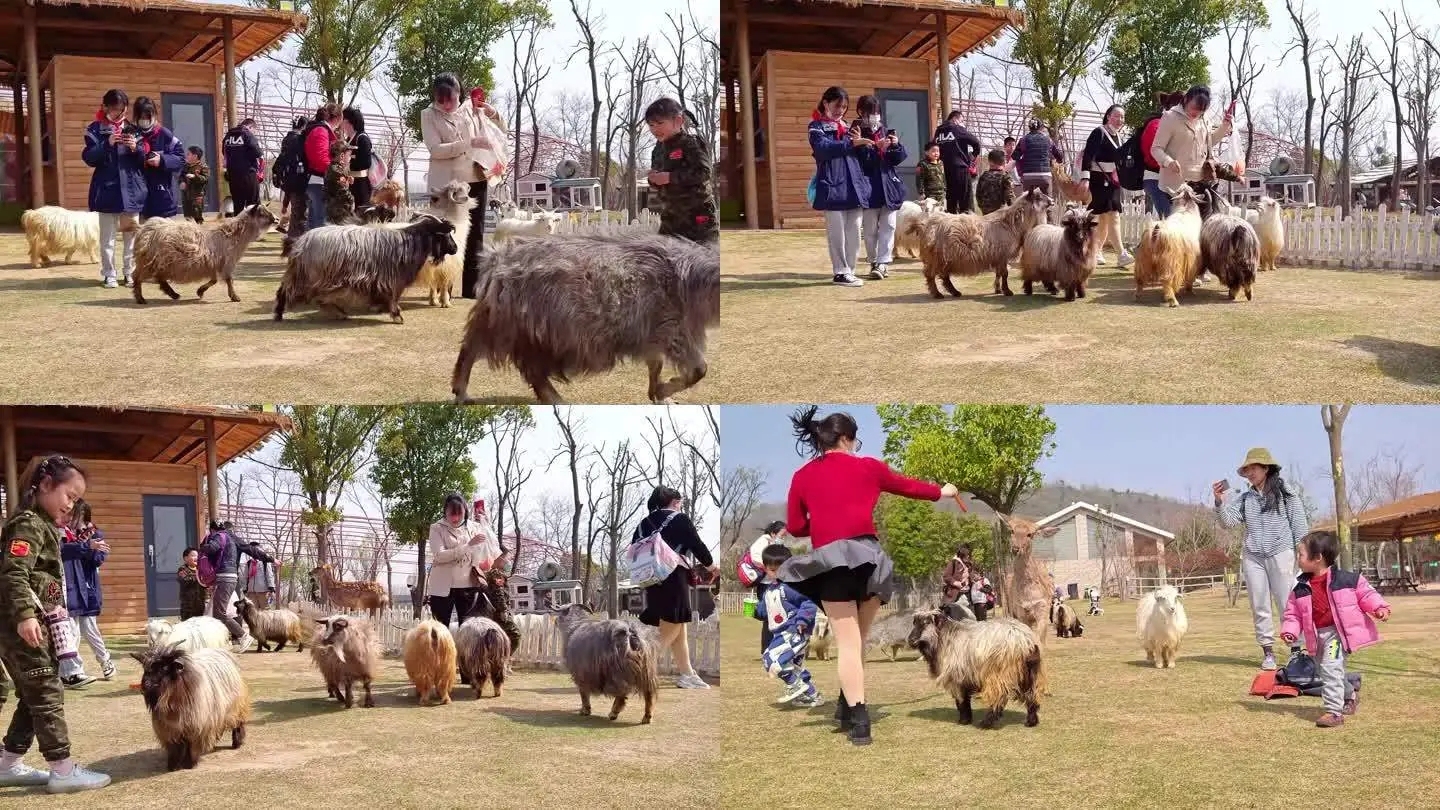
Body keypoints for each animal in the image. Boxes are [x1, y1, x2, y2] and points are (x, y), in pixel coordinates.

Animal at [131, 203, 276, 304]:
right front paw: (235, 297)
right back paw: (141, 298)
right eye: (262, 213)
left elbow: (214, 280)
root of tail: (145, 229)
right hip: (150, 261)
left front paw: (200, 291)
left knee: (160, 279)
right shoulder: (227, 262)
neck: (233, 234)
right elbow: (229, 280)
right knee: (137, 277)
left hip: (160, 262)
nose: (276, 219)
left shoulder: (213, 262)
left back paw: (173, 294)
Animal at [277, 216, 457, 325]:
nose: (455, 249)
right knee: (290, 292)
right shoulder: (393, 280)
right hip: (312, 276)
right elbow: (393, 298)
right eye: (445, 234)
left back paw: (339, 313)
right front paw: (397, 316)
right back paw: (279, 314)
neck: (408, 244)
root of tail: (301, 242)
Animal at [452, 230, 717, 403]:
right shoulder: (672, 326)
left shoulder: (653, 332)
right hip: (528, 328)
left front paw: (658, 394)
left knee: (476, 346)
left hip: (506, 321)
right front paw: (663, 391)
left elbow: (657, 364)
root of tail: (497, 260)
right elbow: (698, 370)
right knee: (513, 362)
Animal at [904, 602, 1042, 729]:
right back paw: (1031, 721)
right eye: (914, 622)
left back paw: (986, 722)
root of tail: (1025, 640)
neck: (944, 638)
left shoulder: (956, 678)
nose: (911, 640)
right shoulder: (965, 677)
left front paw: (964, 720)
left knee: (999, 696)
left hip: (998, 674)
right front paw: (967, 718)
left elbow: (961, 701)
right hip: (1027, 673)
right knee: (1031, 695)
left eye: (926, 622)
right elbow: (965, 699)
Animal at [915, 187, 1054, 298]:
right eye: (1038, 197)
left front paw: (998, 289)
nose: (1052, 201)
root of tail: (927, 225)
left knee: (944, 276)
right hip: (936, 258)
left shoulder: (998, 256)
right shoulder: (1002, 255)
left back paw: (955, 292)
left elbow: (999, 274)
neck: (1012, 224)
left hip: (944, 259)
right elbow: (1005, 274)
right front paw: (1007, 291)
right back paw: (937, 294)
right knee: (930, 275)